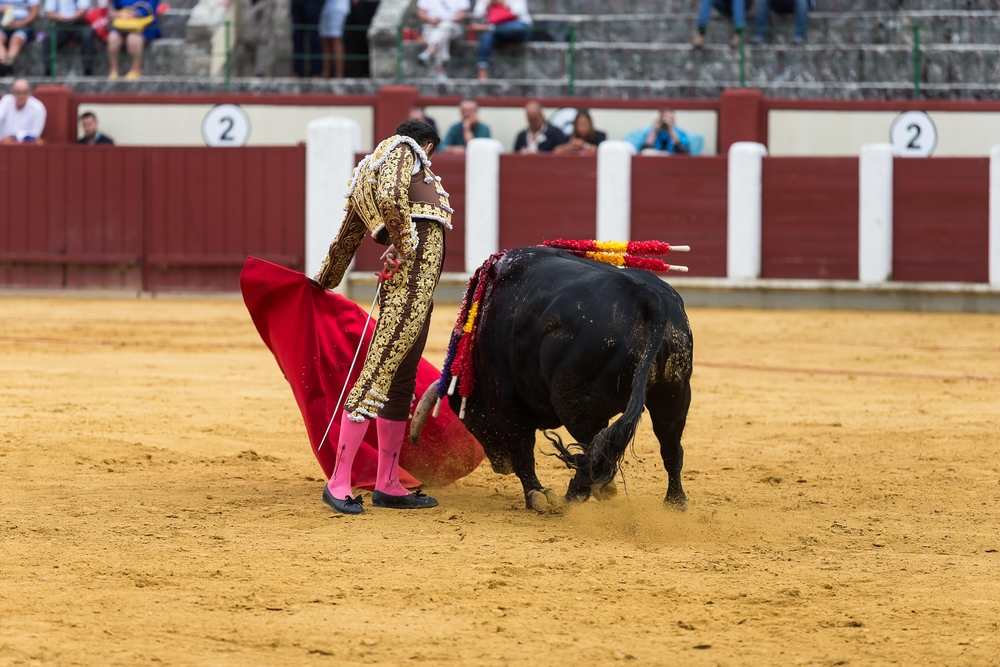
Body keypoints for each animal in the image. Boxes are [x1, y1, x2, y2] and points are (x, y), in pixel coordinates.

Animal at [410, 245, 692, 512]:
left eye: (469, 417)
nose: (500, 466)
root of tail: (646, 297)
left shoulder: (505, 403)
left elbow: (522, 448)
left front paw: (537, 495)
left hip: (577, 404)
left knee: (595, 447)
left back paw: (577, 493)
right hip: (674, 395)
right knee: (669, 446)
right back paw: (674, 502)